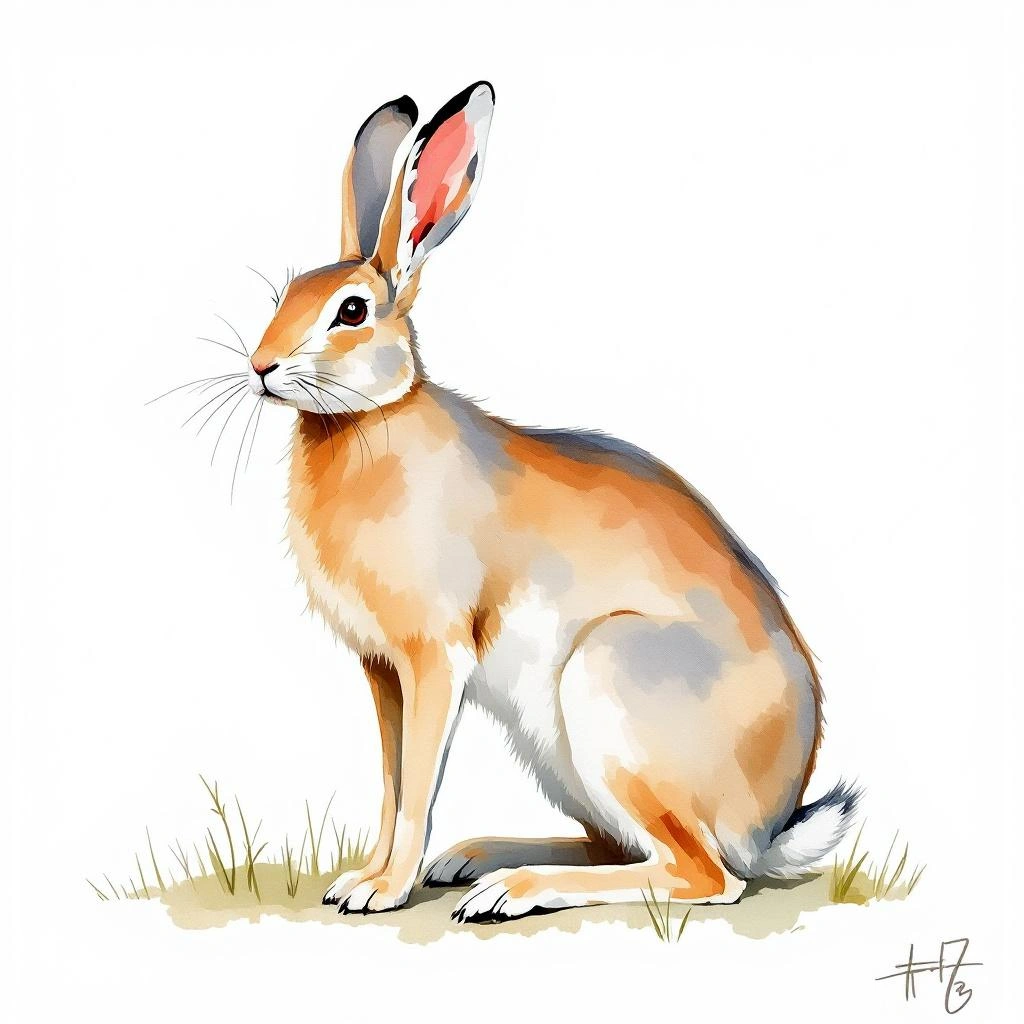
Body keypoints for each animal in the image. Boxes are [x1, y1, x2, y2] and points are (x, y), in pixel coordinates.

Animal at [242, 81, 858, 922]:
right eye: (284, 295)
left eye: (351, 312)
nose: (260, 366)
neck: (370, 419)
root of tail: (770, 822)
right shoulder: (382, 672)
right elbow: (390, 782)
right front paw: (361, 880)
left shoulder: (433, 658)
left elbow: (415, 787)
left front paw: (383, 891)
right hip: (561, 755)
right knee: (631, 849)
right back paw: (475, 860)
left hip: (611, 688)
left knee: (702, 876)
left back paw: (510, 889)